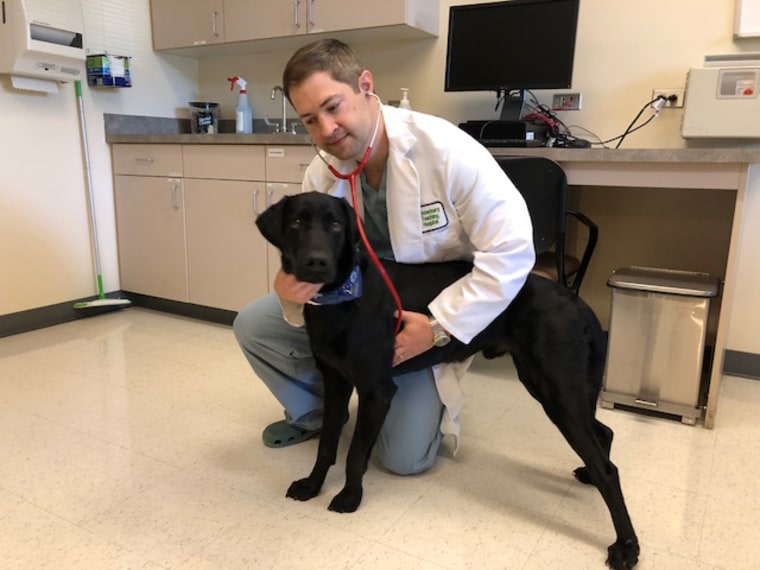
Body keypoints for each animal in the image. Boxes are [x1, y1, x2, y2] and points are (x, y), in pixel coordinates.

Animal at [256, 192, 640, 568]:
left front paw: (350, 497)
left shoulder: (376, 390)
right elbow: (326, 446)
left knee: (609, 469)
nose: (316, 262)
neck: (342, 297)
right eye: (296, 222)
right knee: (604, 434)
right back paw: (590, 475)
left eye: (336, 225)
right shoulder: (334, 382)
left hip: (557, 391)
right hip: (549, 384)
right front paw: (312, 486)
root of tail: (576, 301)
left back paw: (626, 546)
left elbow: (355, 454)